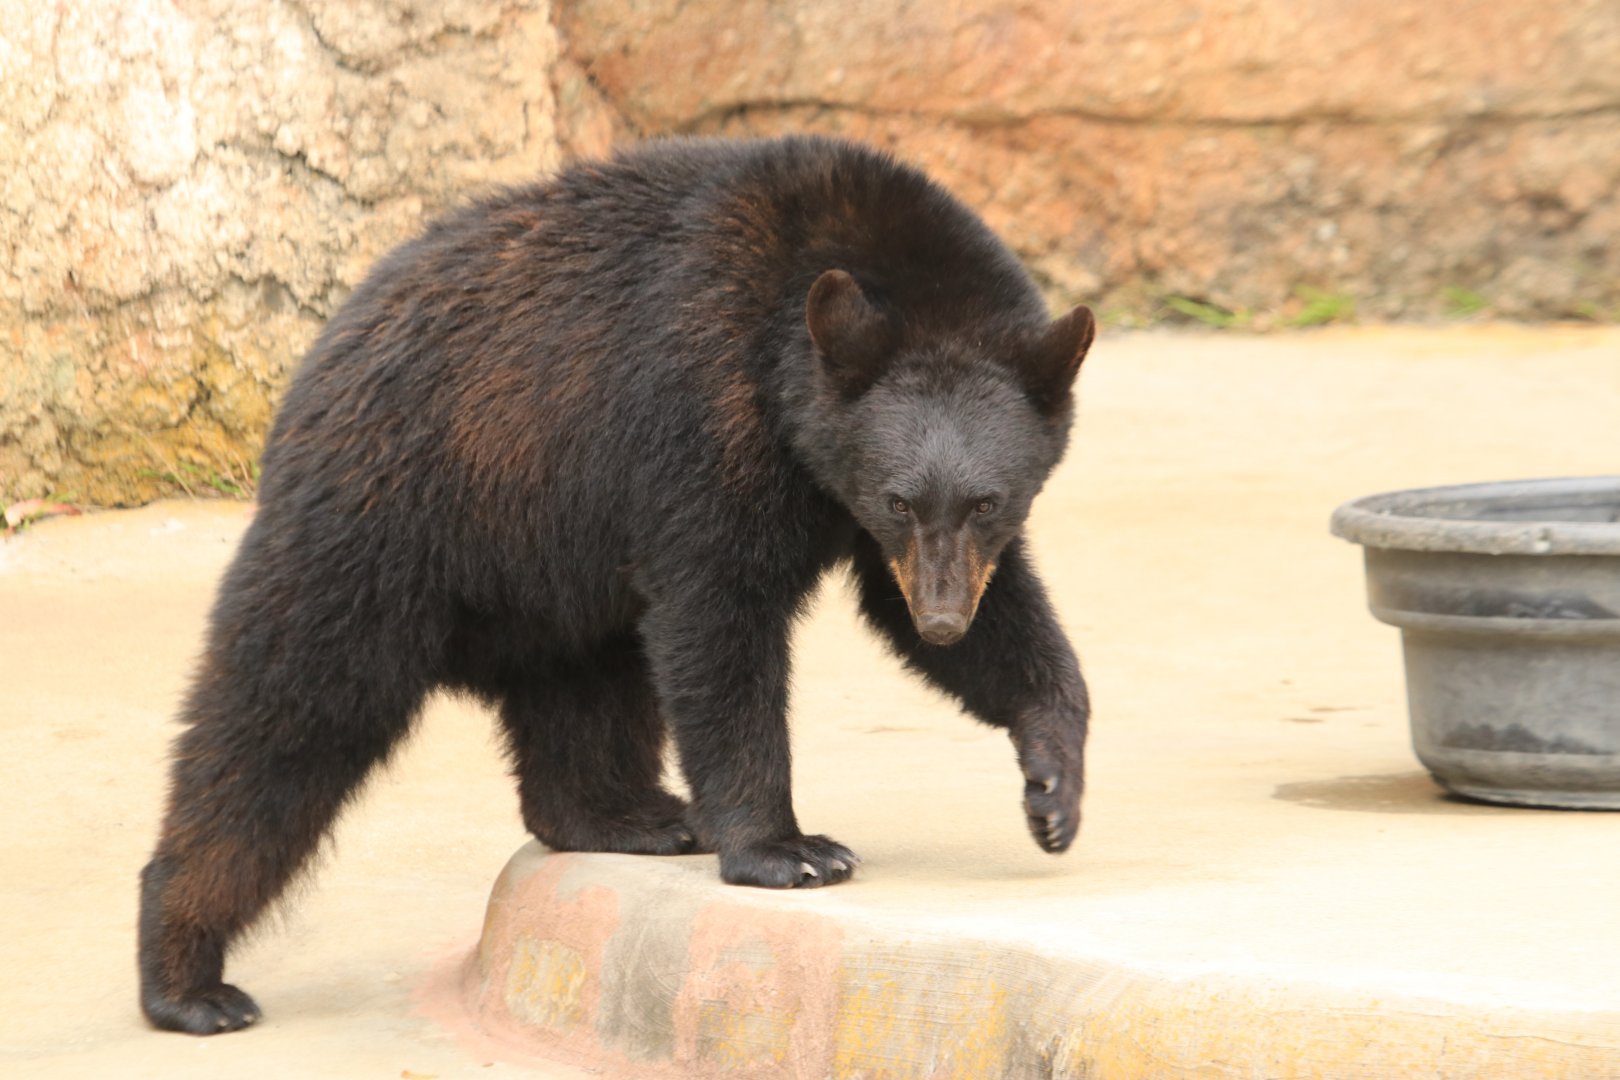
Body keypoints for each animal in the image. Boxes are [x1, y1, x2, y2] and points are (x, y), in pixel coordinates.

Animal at [138, 134, 1095, 1035]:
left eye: (988, 500)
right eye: (899, 497)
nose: (942, 619)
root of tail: (316, 356)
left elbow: (982, 613)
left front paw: (1053, 787)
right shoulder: (701, 413)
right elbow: (717, 617)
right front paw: (788, 850)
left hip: (551, 574)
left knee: (588, 691)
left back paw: (630, 817)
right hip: (388, 518)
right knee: (286, 715)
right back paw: (188, 978)